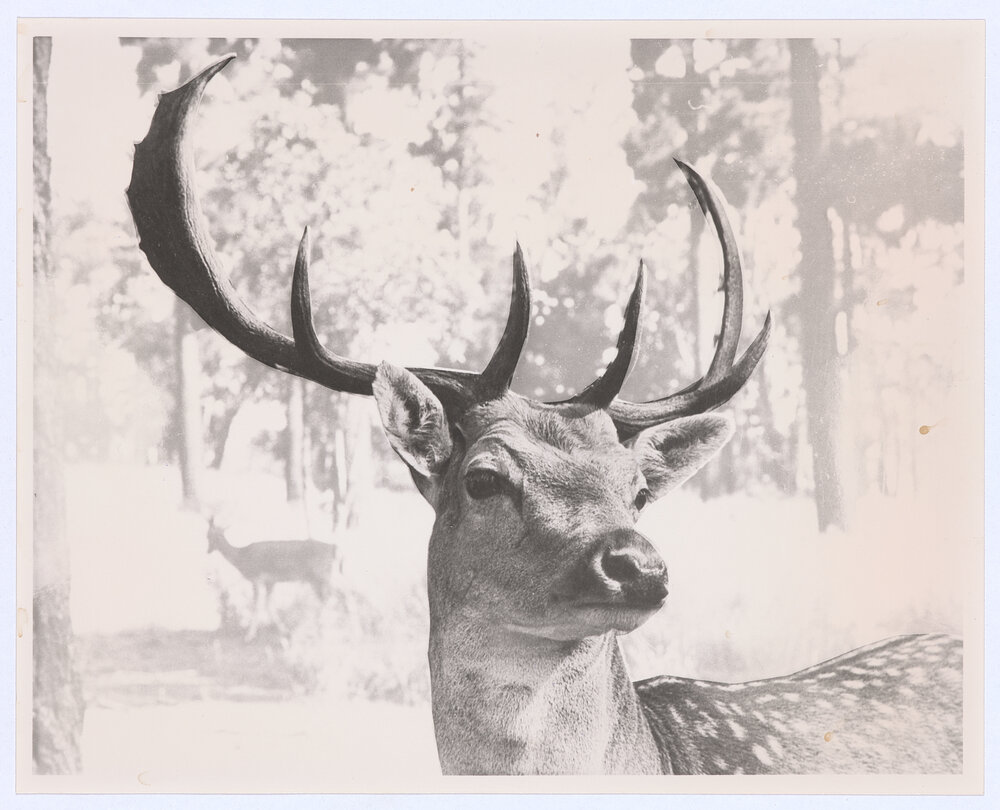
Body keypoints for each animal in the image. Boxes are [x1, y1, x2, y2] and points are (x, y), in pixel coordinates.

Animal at [206, 517, 338, 640]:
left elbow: (257, 606)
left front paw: (249, 636)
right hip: (317, 578)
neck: (242, 558)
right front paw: (284, 631)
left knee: (329, 597)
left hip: (320, 574)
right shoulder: (270, 581)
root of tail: (332, 548)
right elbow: (269, 605)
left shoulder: (256, 578)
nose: (207, 550)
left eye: (207, 535)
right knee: (326, 598)